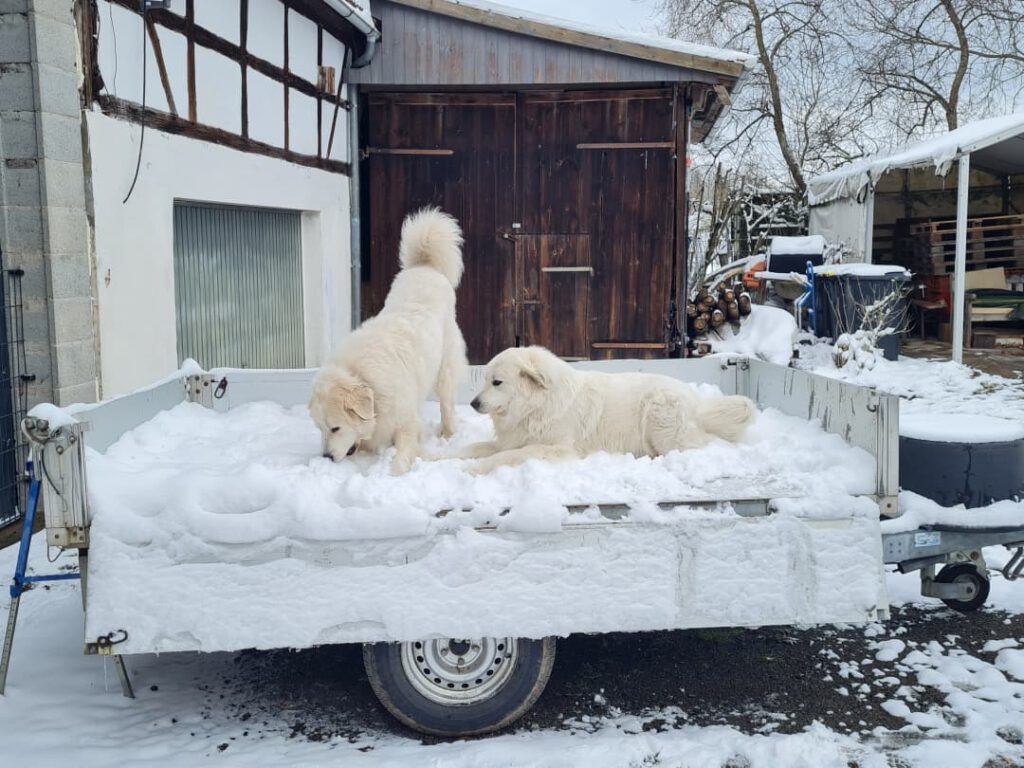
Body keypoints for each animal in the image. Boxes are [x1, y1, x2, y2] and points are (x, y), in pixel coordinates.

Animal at [307, 208, 468, 475]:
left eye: (335, 428)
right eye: (319, 428)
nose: (326, 458)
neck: (364, 378)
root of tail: (424, 265)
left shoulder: (406, 422)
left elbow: (401, 457)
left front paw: (391, 473)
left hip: (445, 369)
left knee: (447, 405)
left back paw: (448, 433)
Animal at [452, 348, 757, 475]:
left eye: (497, 382)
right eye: (484, 380)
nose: (474, 403)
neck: (536, 406)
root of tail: (698, 402)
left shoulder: (556, 448)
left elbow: (509, 456)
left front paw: (475, 469)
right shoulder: (508, 439)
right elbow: (472, 448)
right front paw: (442, 455)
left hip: (662, 422)